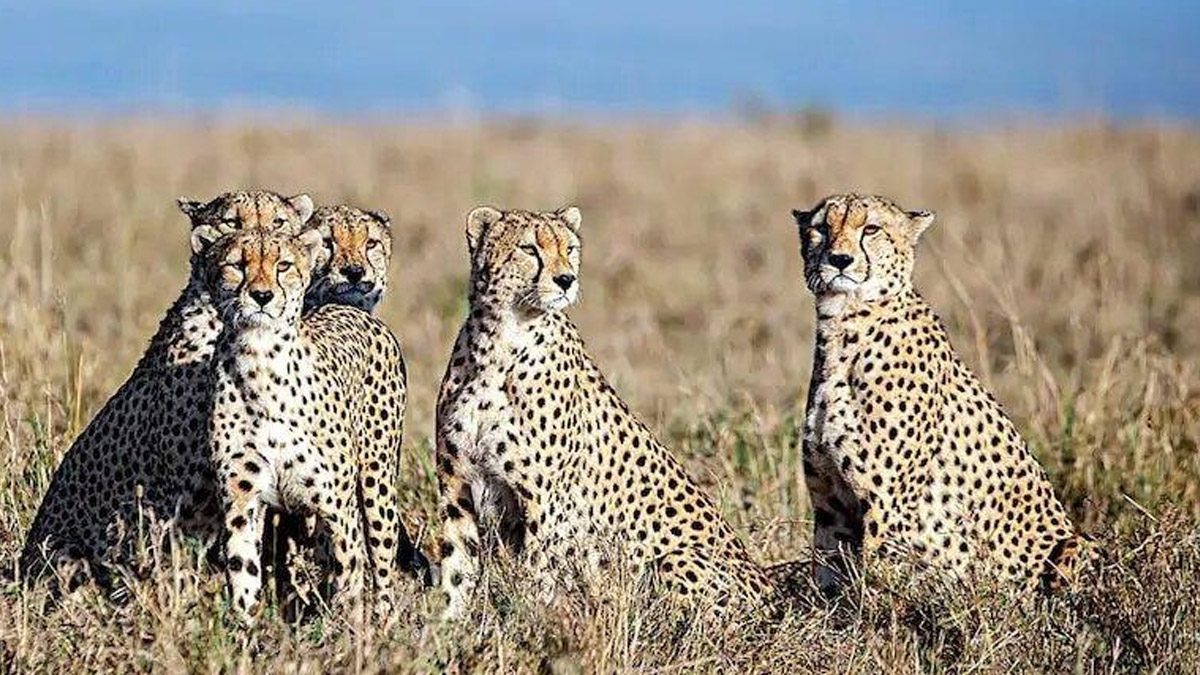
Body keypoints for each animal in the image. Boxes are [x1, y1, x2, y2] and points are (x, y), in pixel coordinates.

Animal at [202, 225, 414, 621]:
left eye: (283, 265)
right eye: (236, 265)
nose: (262, 296)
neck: (260, 361)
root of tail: (345, 307)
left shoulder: (337, 508)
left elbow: (349, 578)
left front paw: (350, 634)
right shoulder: (241, 502)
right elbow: (243, 575)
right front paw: (245, 632)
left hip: (376, 485)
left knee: (380, 563)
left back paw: (385, 621)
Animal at [434, 205, 778, 619]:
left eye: (569, 248)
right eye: (529, 249)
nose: (566, 279)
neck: (500, 341)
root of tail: (773, 594)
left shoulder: (545, 503)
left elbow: (535, 577)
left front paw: (531, 626)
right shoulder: (458, 489)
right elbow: (456, 570)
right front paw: (446, 629)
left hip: (674, 560)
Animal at [791, 193, 1094, 597]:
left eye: (871, 228)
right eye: (822, 228)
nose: (840, 260)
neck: (843, 325)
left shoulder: (887, 509)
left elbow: (875, 587)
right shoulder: (830, 506)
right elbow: (828, 576)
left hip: (1078, 544)